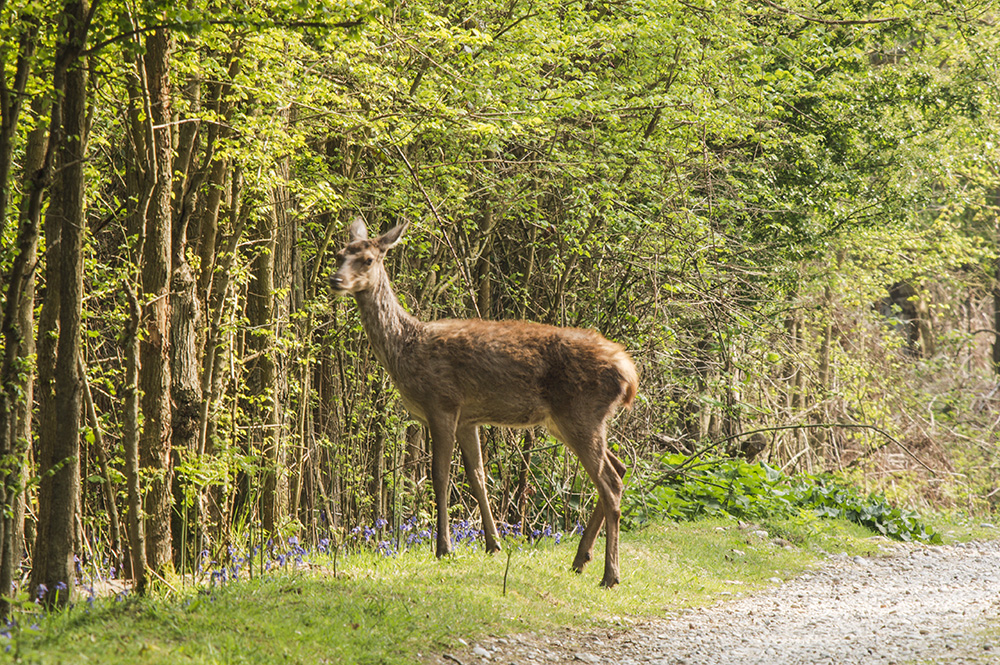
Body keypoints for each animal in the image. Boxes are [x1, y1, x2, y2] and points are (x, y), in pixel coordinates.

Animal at [332, 218, 636, 588]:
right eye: (338, 255)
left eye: (368, 260)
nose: (335, 280)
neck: (406, 349)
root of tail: (629, 373)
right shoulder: (468, 418)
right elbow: (477, 475)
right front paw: (493, 543)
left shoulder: (442, 402)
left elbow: (440, 475)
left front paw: (444, 548)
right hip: (569, 420)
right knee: (619, 468)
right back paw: (581, 559)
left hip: (580, 413)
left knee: (610, 482)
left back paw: (610, 574)